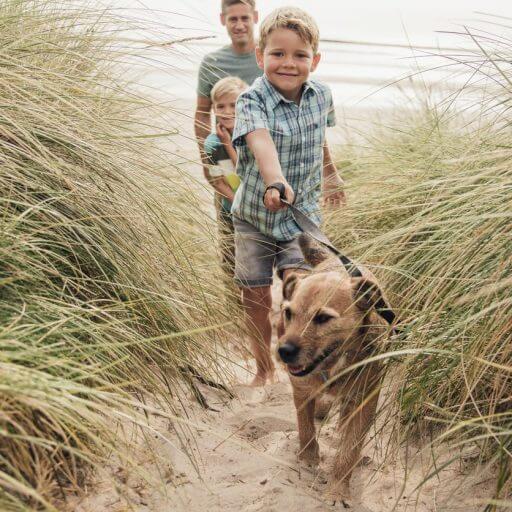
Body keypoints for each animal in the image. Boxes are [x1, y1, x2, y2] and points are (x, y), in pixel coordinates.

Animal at [276, 234, 392, 506]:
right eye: (288, 313)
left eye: (323, 318)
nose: (284, 351)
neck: (333, 364)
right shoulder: (301, 389)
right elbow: (305, 428)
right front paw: (309, 458)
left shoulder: (363, 402)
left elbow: (348, 450)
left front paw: (338, 490)